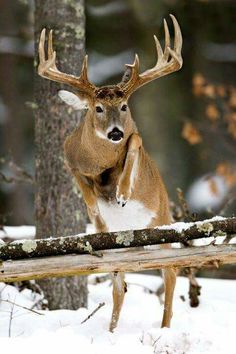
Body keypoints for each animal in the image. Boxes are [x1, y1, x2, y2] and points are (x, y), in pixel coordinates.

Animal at [37, 14, 183, 334]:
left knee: (170, 271)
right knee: (120, 282)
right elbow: (83, 184)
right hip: (119, 239)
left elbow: (136, 140)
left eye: (125, 105)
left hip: (161, 220)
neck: (98, 164)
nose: (115, 132)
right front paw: (94, 205)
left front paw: (122, 194)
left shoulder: (134, 142)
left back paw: (165, 328)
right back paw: (112, 331)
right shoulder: (68, 154)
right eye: (98, 108)